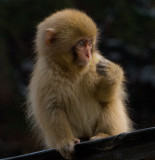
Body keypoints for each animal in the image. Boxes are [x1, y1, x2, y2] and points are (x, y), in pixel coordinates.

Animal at [27, 9, 132, 160]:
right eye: (81, 44)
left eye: (89, 43)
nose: (88, 55)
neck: (72, 70)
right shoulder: (45, 75)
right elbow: (52, 107)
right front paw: (65, 142)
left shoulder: (94, 64)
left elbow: (103, 97)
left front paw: (113, 73)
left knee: (111, 101)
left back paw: (105, 134)